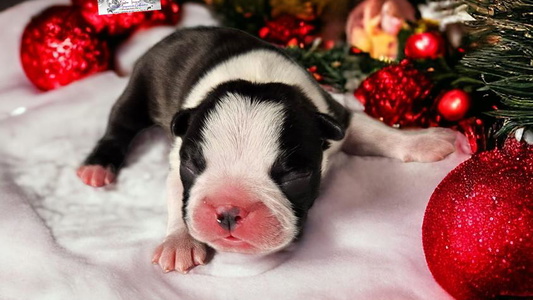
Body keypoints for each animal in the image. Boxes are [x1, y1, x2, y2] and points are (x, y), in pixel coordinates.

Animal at [77, 27, 456, 274]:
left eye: (295, 176)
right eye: (193, 166)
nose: (229, 210)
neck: (256, 80)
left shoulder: (335, 118)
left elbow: (377, 131)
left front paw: (422, 140)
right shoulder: (177, 159)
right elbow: (177, 199)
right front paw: (179, 242)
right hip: (141, 86)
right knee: (119, 125)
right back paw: (97, 166)